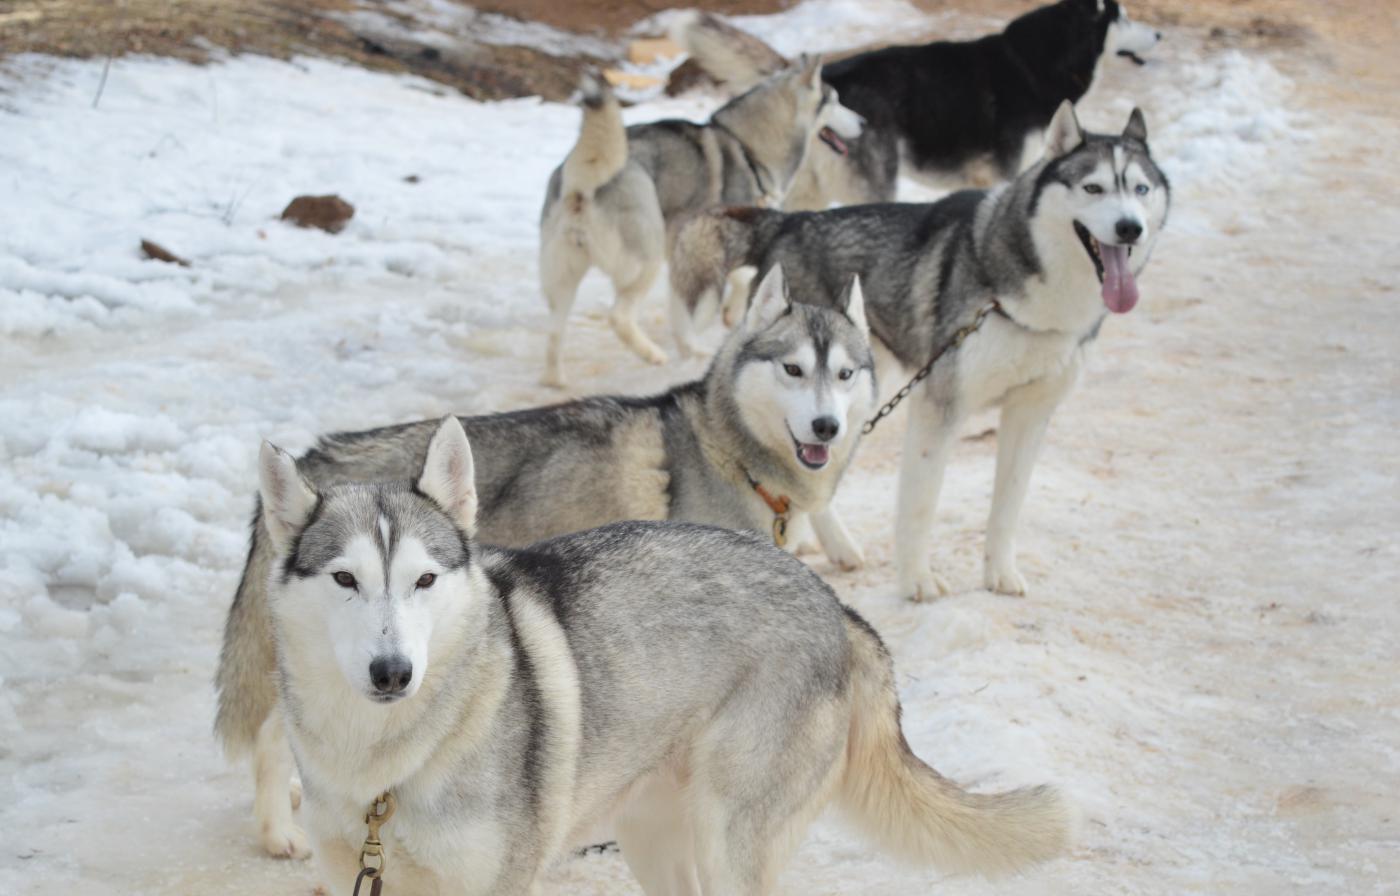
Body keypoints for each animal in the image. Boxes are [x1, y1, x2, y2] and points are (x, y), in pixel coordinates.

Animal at [214, 267, 873, 862]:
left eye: (844, 374)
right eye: (792, 369)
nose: (827, 427)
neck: (726, 449)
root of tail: (315, 455)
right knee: (272, 735)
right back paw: (279, 831)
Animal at [257, 417, 1064, 896]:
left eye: (423, 580)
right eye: (345, 579)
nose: (393, 672)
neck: (384, 771)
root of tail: (838, 607)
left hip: (731, 848)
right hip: (655, 839)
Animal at [537, 61, 856, 383]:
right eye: (835, 100)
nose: (862, 121)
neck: (747, 147)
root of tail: (581, 181)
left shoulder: (685, 250)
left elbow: (686, 305)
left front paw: (693, 342)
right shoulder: (707, 240)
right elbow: (738, 279)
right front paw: (723, 318)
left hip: (563, 277)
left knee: (554, 331)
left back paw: (556, 381)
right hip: (646, 260)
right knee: (619, 317)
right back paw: (652, 353)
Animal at [672, 0, 1164, 210]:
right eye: (1126, 16)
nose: (1159, 33)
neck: (1032, 64)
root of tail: (830, 79)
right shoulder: (1003, 173)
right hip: (874, 186)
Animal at [672, 101, 1176, 599]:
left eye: (1140, 188)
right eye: (1093, 187)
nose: (1129, 228)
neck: (1032, 305)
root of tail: (787, 222)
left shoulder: (1030, 413)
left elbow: (1008, 505)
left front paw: (999, 573)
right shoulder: (939, 407)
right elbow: (920, 505)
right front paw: (917, 580)